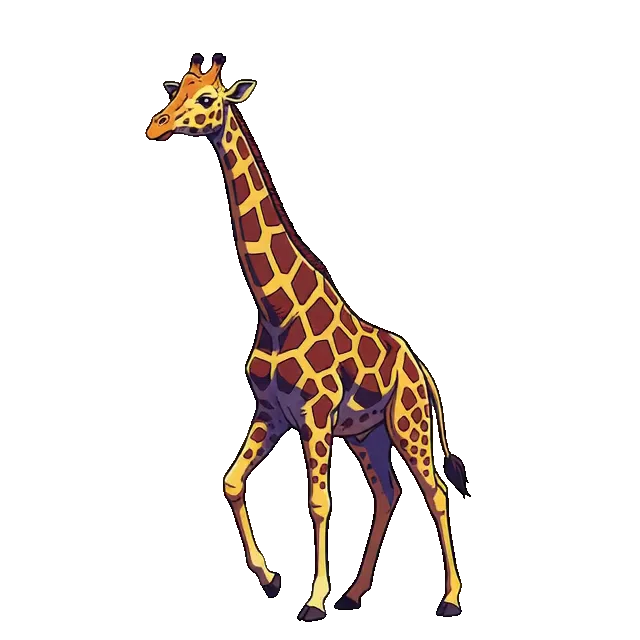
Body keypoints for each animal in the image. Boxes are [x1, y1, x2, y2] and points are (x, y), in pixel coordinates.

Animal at [146, 55, 469, 622]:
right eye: (175, 89)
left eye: (206, 99)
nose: (155, 127)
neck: (277, 311)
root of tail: (424, 370)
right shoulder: (270, 413)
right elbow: (231, 480)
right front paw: (270, 579)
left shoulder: (315, 415)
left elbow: (319, 503)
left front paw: (315, 602)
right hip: (366, 434)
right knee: (387, 493)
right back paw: (358, 593)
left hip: (407, 423)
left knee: (433, 491)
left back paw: (450, 599)